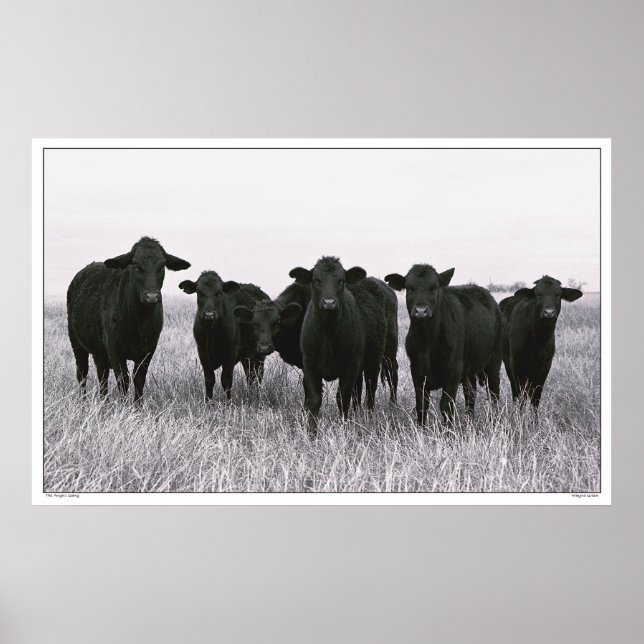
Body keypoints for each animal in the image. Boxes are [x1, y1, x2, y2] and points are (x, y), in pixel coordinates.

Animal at [66, 236, 191, 400]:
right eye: (136, 265)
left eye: (162, 266)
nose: (152, 296)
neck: (140, 321)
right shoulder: (114, 349)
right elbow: (123, 380)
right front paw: (125, 405)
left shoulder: (149, 349)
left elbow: (139, 379)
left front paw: (138, 405)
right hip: (76, 342)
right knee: (82, 373)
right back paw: (83, 401)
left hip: (99, 351)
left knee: (102, 376)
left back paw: (103, 401)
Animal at [179, 271, 268, 400]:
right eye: (199, 292)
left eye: (219, 292)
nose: (209, 314)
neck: (212, 333)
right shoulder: (202, 352)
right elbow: (209, 379)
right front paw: (208, 402)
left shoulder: (231, 352)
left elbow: (226, 380)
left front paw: (228, 402)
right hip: (247, 357)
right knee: (250, 375)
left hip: (260, 353)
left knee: (258, 375)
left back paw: (256, 396)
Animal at [289, 256, 386, 435]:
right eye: (316, 280)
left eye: (341, 280)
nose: (329, 303)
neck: (328, 335)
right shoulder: (309, 364)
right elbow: (314, 399)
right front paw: (311, 432)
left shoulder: (350, 365)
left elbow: (343, 398)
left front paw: (343, 429)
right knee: (358, 392)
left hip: (373, 361)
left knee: (370, 391)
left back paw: (368, 418)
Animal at [385, 265, 502, 426]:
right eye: (409, 288)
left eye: (434, 287)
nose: (421, 311)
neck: (427, 343)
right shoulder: (416, 371)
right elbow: (421, 404)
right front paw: (421, 428)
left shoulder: (454, 370)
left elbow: (446, 405)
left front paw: (449, 430)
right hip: (469, 369)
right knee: (471, 393)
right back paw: (470, 419)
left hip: (494, 360)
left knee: (494, 393)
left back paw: (494, 420)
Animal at [499, 275, 583, 409]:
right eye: (538, 294)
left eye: (558, 295)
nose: (549, 312)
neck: (537, 342)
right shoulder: (516, 366)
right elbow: (521, 397)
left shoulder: (544, 368)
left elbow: (535, 398)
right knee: (516, 392)